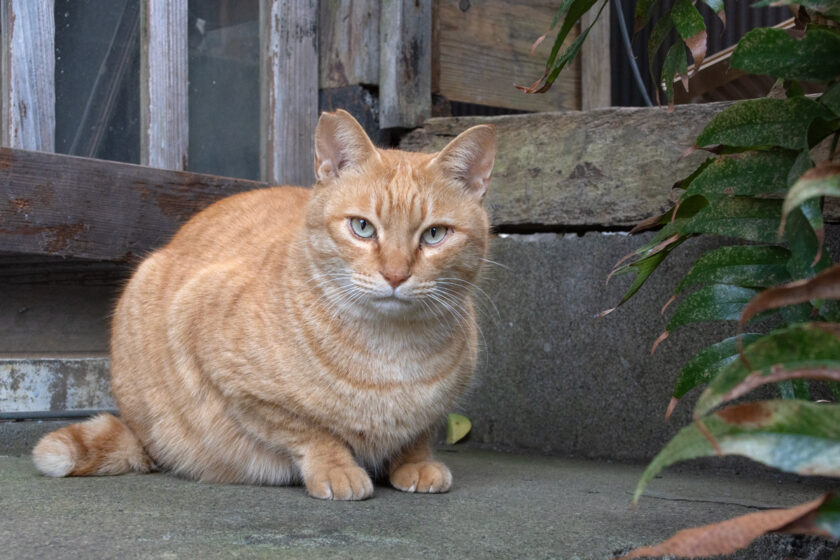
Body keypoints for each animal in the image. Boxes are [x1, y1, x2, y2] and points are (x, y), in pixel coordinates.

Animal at [31, 108, 492, 498]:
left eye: (434, 234)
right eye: (362, 227)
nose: (396, 275)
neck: (393, 352)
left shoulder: (440, 405)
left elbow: (419, 433)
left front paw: (415, 463)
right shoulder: (230, 374)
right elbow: (309, 431)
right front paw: (336, 468)